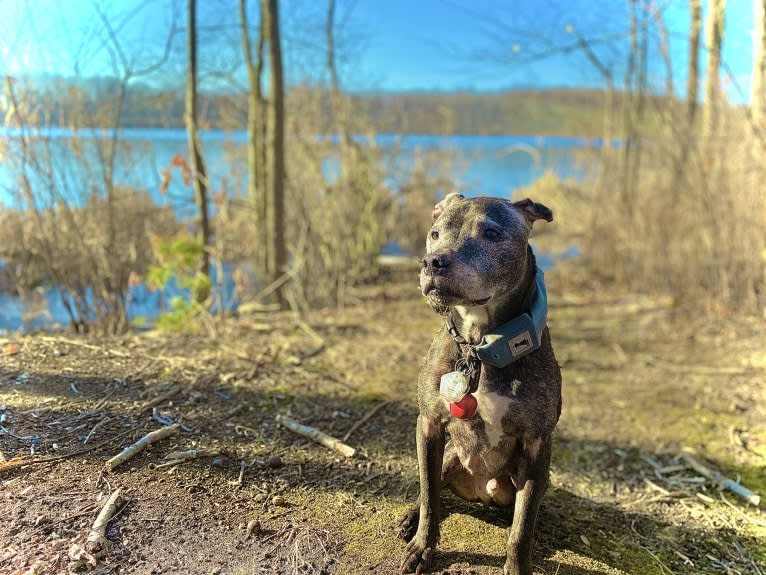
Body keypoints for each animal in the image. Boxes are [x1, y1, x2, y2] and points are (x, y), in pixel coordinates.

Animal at [400, 195, 560, 575]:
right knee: (433, 490)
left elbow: (522, 525)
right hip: (449, 456)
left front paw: (518, 567)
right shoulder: (429, 426)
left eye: (491, 233)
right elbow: (429, 495)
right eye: (434, 234)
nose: (432, 261)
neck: (479, 345)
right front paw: (422, 547)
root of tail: (479, 490)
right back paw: (411, 518)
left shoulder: (537, 444)